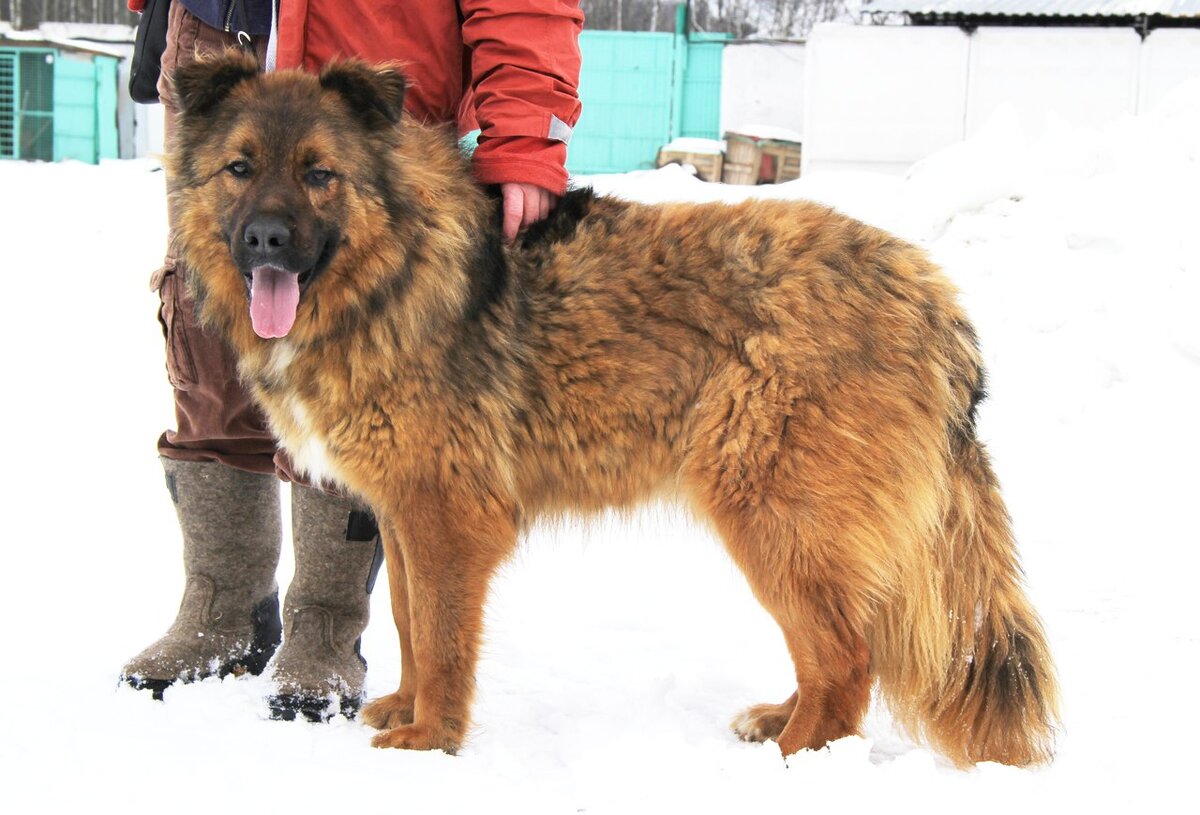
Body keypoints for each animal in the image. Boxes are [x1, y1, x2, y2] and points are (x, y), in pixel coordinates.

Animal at [166, 54, 1060, 768]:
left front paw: (431, 741)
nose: (266, 240)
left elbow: (444, 640)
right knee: (834, 657)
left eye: (320, 173)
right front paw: (406, 708)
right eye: (240, 168)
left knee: (846, 663)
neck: (395, 268)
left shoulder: (448, 516)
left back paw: (797, 759)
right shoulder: (403, 509)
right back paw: (779, 722)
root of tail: (934, 299)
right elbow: (410, 622)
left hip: (772, 517)